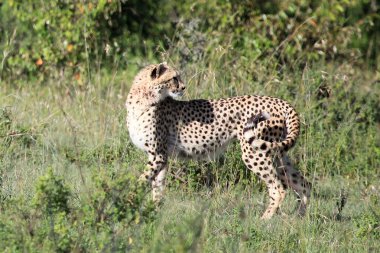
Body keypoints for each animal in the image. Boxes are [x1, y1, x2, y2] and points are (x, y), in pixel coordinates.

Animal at [126, 62, 310, 218]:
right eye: (174, 78)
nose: (184, 87)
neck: (145, 97)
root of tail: (279, 100)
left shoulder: (157, 155)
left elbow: (141, 181)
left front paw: (128, 200)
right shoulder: (160, 156)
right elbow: (157, 187)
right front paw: (154, 211)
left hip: (254, 152)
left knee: (279, 189)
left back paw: (264, 220)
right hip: (277, 153)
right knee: (303, 184)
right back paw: (300, 218)